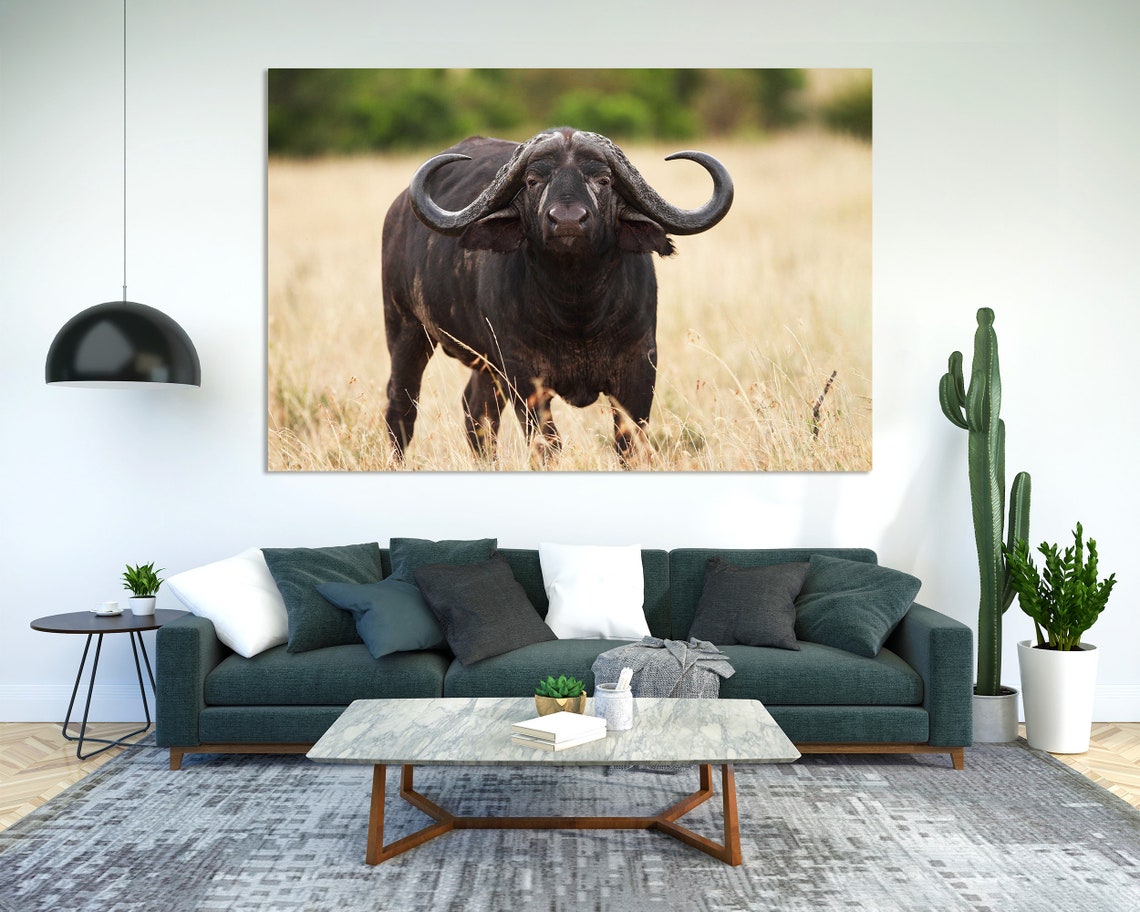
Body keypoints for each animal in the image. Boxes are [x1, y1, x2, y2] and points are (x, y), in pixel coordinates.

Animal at [380, 127, 733, 466]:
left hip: (484, 362)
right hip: (406, 330)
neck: (577, 310)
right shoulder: (523, 375)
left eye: (603, 180)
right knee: (402, 406)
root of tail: (397, 213)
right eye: (533, 181)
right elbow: (547, 445)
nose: (567, 220)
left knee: (477, 412)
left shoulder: (640, 367)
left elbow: (629, 444)